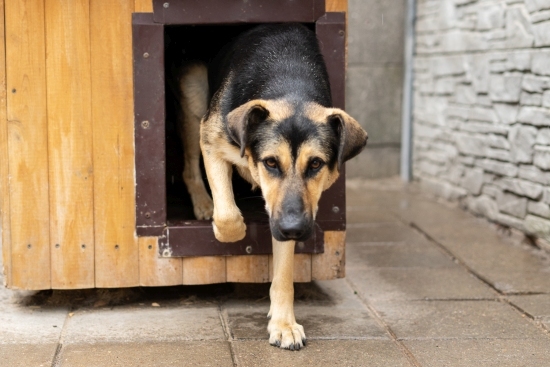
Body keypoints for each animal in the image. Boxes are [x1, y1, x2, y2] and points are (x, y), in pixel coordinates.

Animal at [175, 23, 368, 350]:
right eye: (271, 163)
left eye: (316, 164)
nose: (293, 228)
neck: (290, 85)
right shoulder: (212, 141)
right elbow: (227, 216)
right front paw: (232, 228)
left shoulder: (292, 213)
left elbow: (284, 274)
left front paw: (283, 324)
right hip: (193, 100)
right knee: (189, 167)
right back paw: (202, 203)